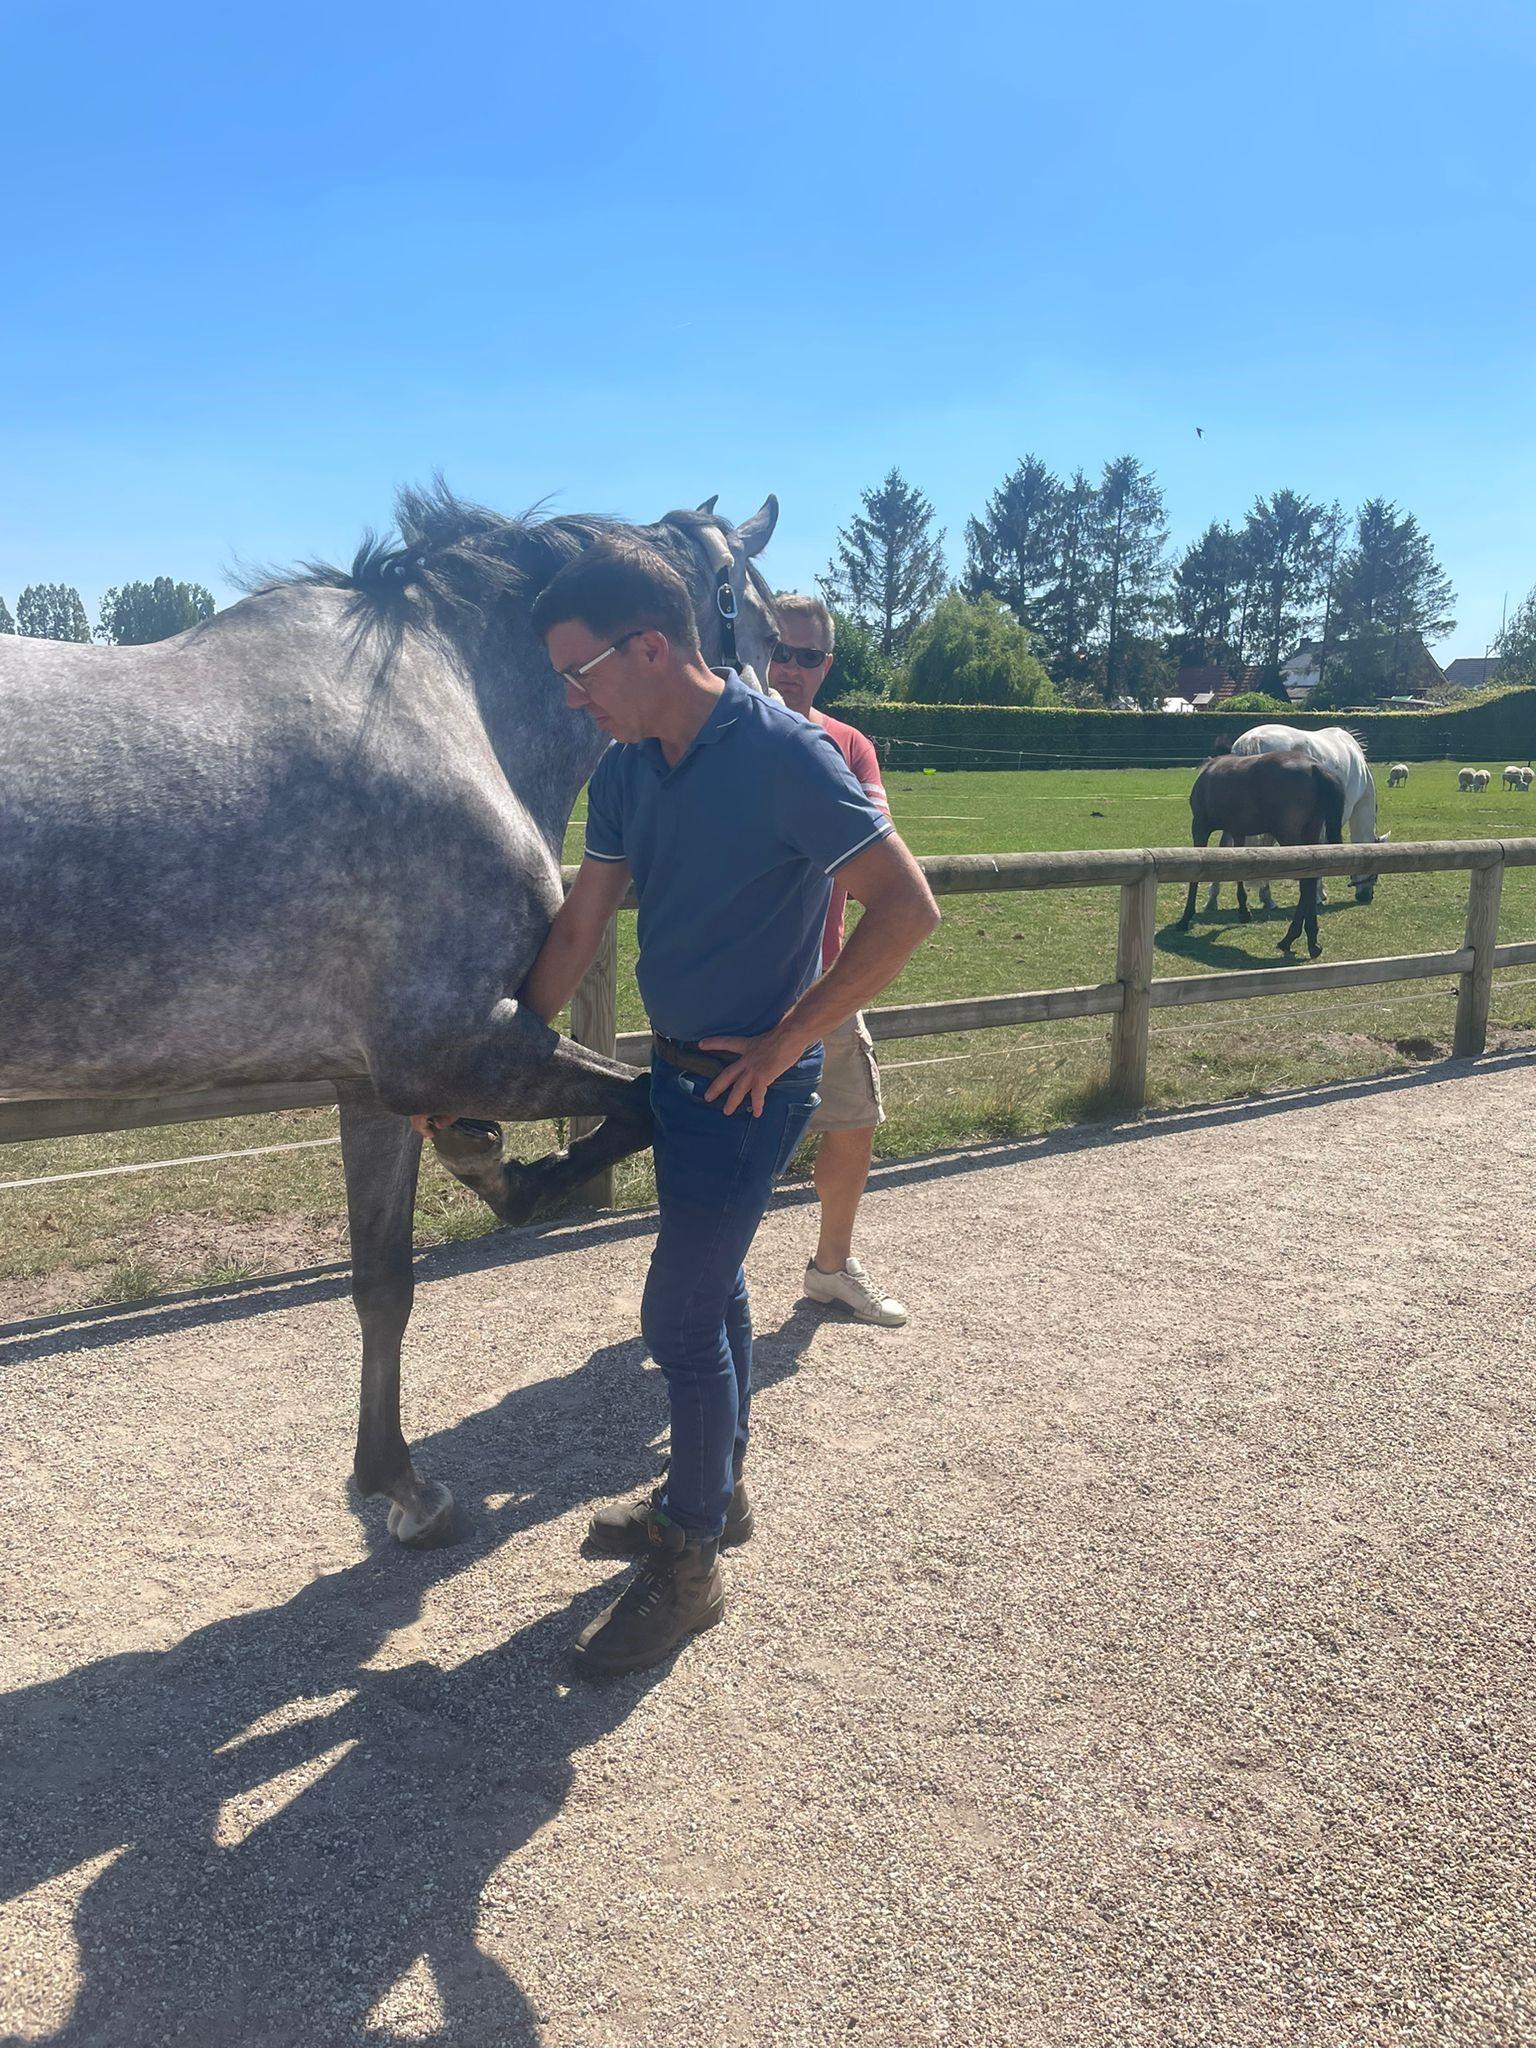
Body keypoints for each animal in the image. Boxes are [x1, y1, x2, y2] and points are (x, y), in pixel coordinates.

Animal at [0, 482, 783, 1548]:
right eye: (770, 625)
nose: (785, 721)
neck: (448, 698)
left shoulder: (370, 1086)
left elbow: (384, 1286)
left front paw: (400, 1487)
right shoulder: (450, 1048)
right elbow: (636, 1110)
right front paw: (509, 1175)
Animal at [1178, 749, 1347, 959]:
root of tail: (1314, 767)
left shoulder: (1200, 827)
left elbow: (1195, 878)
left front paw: (1185, 917)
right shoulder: (1237, 831)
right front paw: (1243, 911)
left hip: (1288, 837)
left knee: (1306, 882)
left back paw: (1298, 938)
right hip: (1310, 834)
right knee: (1310, 878)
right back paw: (1302, 938)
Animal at [1201, 724, 1384, 914]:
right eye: (1376, 874)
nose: (1366, 896)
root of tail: (1253, 739)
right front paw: (1319, 895)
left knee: (1226, 846)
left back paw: (1214, 899)